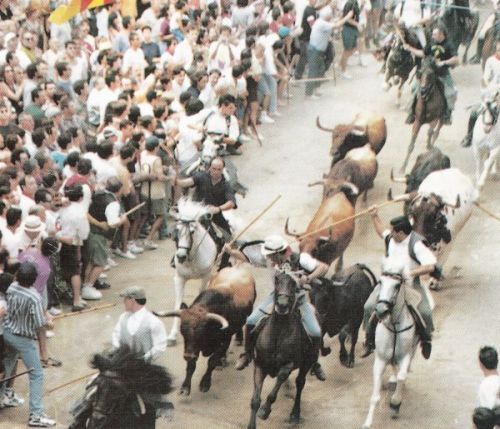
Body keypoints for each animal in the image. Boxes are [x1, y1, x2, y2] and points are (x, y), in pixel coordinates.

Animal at [167, 199, 218, 346]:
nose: (181, 256)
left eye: (192, 231)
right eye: (177, 230)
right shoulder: (179, 278)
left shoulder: (206, 277)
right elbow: (178, 303)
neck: (192, 259)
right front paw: (172, 336)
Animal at [247, 272, 316, 426]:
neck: (277, 334)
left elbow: (277, 384)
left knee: (300, 383)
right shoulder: (260, 365)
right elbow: (255, 400)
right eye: (277, 281)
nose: (282, 304)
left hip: (307, 363)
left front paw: (265, 411)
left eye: (294, 284)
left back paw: (295, 414)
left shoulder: (288, 365)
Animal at [362, 270, 420, 426]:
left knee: (403, 371)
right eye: (380, 282)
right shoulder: (380, 360)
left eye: (397, 285)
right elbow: (375, 397)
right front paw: (367, 422)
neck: (394, 325)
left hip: (413, 349)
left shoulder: (405, 355)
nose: (381, 310)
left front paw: (395, 403)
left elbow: (402, 376)